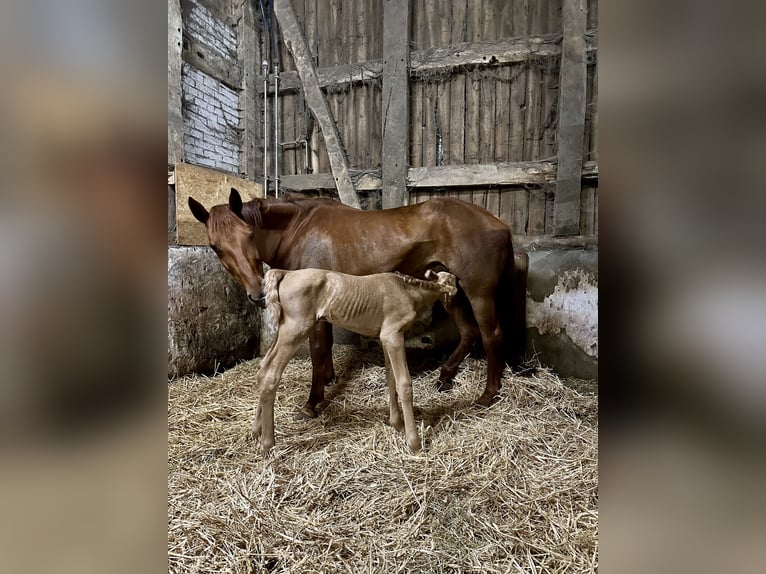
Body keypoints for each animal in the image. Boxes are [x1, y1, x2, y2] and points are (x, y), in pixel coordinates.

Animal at [252, 268, 460, 454]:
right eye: (455, 287)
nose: (459, 306)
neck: (408, 291)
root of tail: (285, 273)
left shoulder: (384, 337)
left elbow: (390, 378)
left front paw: (397, 425)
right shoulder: (393, 335)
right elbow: (404, 384)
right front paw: (414, 443)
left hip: (283, 330)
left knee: (262, 369)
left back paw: (256, 431)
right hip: (296, 329)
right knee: (270, 374)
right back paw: (267, 444)